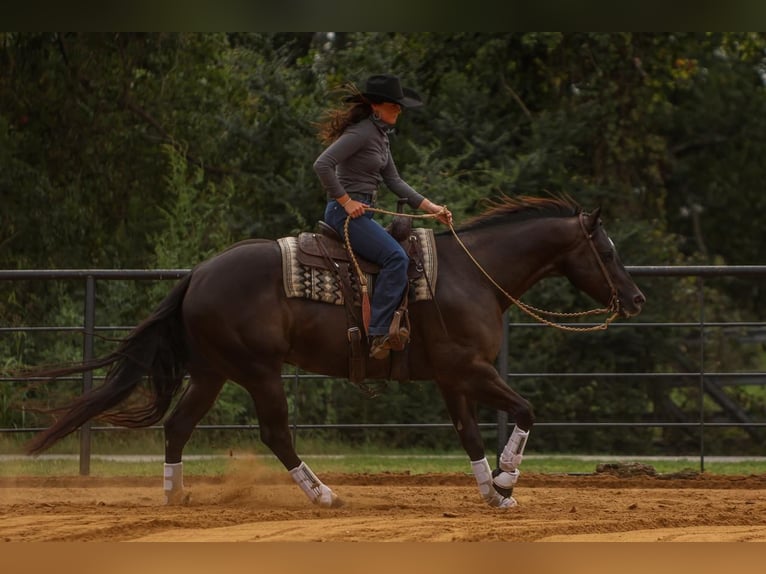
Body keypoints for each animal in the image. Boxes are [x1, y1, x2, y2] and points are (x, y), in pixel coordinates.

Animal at [21, 197, 648, 508]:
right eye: (607, 251)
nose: (637, 299)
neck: (471, 275)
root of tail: (197, 273)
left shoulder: (452, 378)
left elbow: (469, 434)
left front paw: (490, 491)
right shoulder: (470, 370)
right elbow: (524, 410)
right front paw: (508, 479)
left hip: (213, 373)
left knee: (177, 427)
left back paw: (176, 497)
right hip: (259, 372)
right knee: (276, 434)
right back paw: (324, 495)